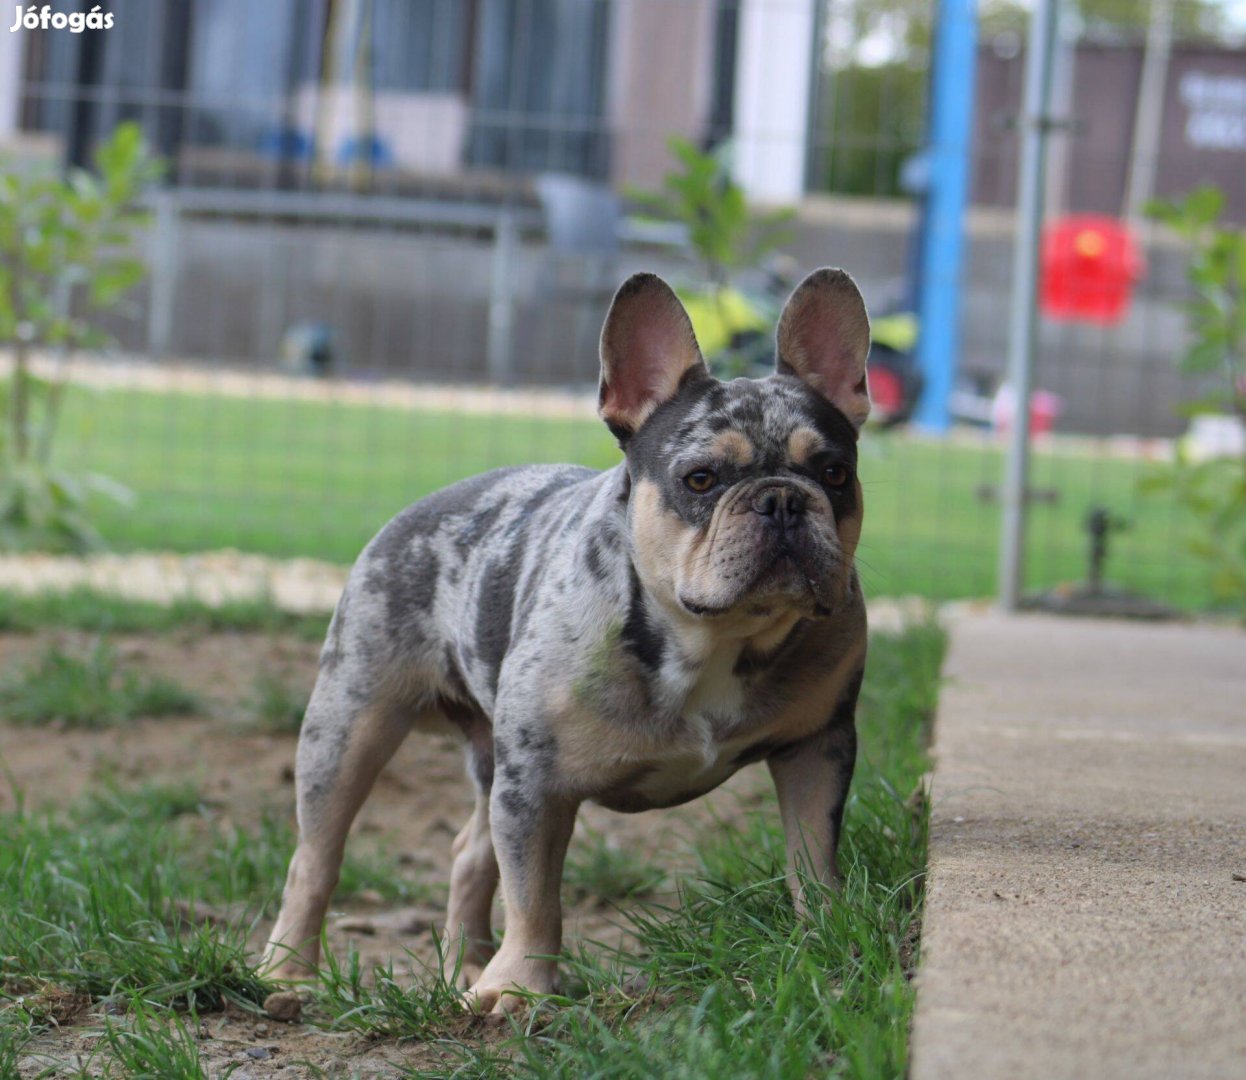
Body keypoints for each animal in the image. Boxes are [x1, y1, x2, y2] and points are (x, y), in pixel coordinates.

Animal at [262, 267, 867, 1011]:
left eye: (836, 474)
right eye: (701, 479)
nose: (782, 499)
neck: (710, 636)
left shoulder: (818, 746)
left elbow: (811, 855)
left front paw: (827, 938)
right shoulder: (536, 787)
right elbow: (535, 897)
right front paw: (519, 987)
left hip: (489, 760)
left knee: (469, 854)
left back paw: (468, 965)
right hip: (352, 723)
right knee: (317, 856)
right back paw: (290, 971)